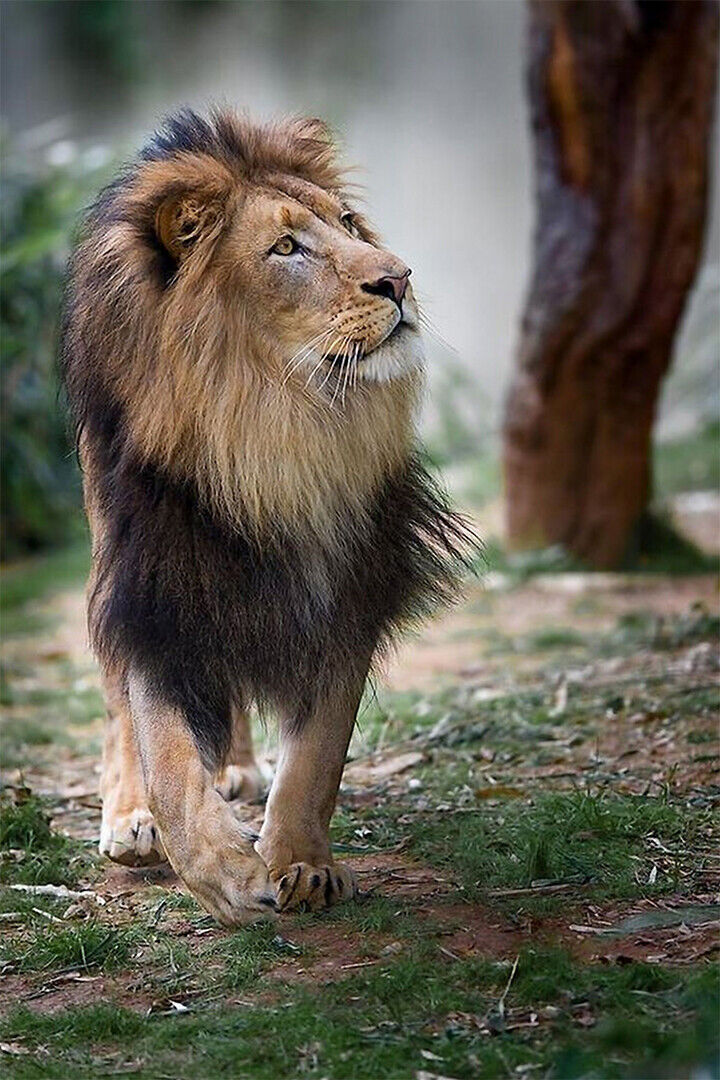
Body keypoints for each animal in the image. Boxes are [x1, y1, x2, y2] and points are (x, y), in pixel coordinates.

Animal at [61, 108, 471, 925]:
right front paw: (221, 870)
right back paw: (131, 816)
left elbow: (318, 753)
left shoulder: (348, 583)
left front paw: (302, 863)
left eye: (349, 224)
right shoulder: (155, 580)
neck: (274, 422)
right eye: (285, 248)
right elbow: (163, 744)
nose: (400, 278)